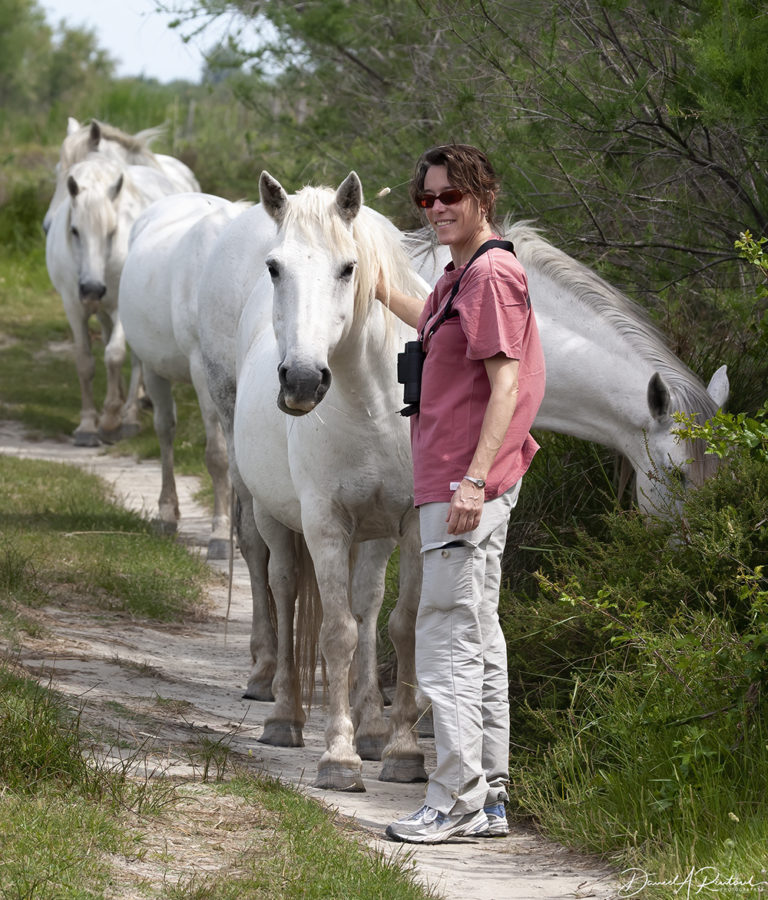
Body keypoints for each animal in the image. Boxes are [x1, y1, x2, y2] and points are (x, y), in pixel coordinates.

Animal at [46, 160, 186, 448]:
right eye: (74, 231)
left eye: (111, 232)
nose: (91, 288)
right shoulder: (73, 307)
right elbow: (84, 361)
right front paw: (88, 425)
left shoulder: (120, 310)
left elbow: (114, 355)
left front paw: (112, 421)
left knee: (136, 359)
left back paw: (129, 414)